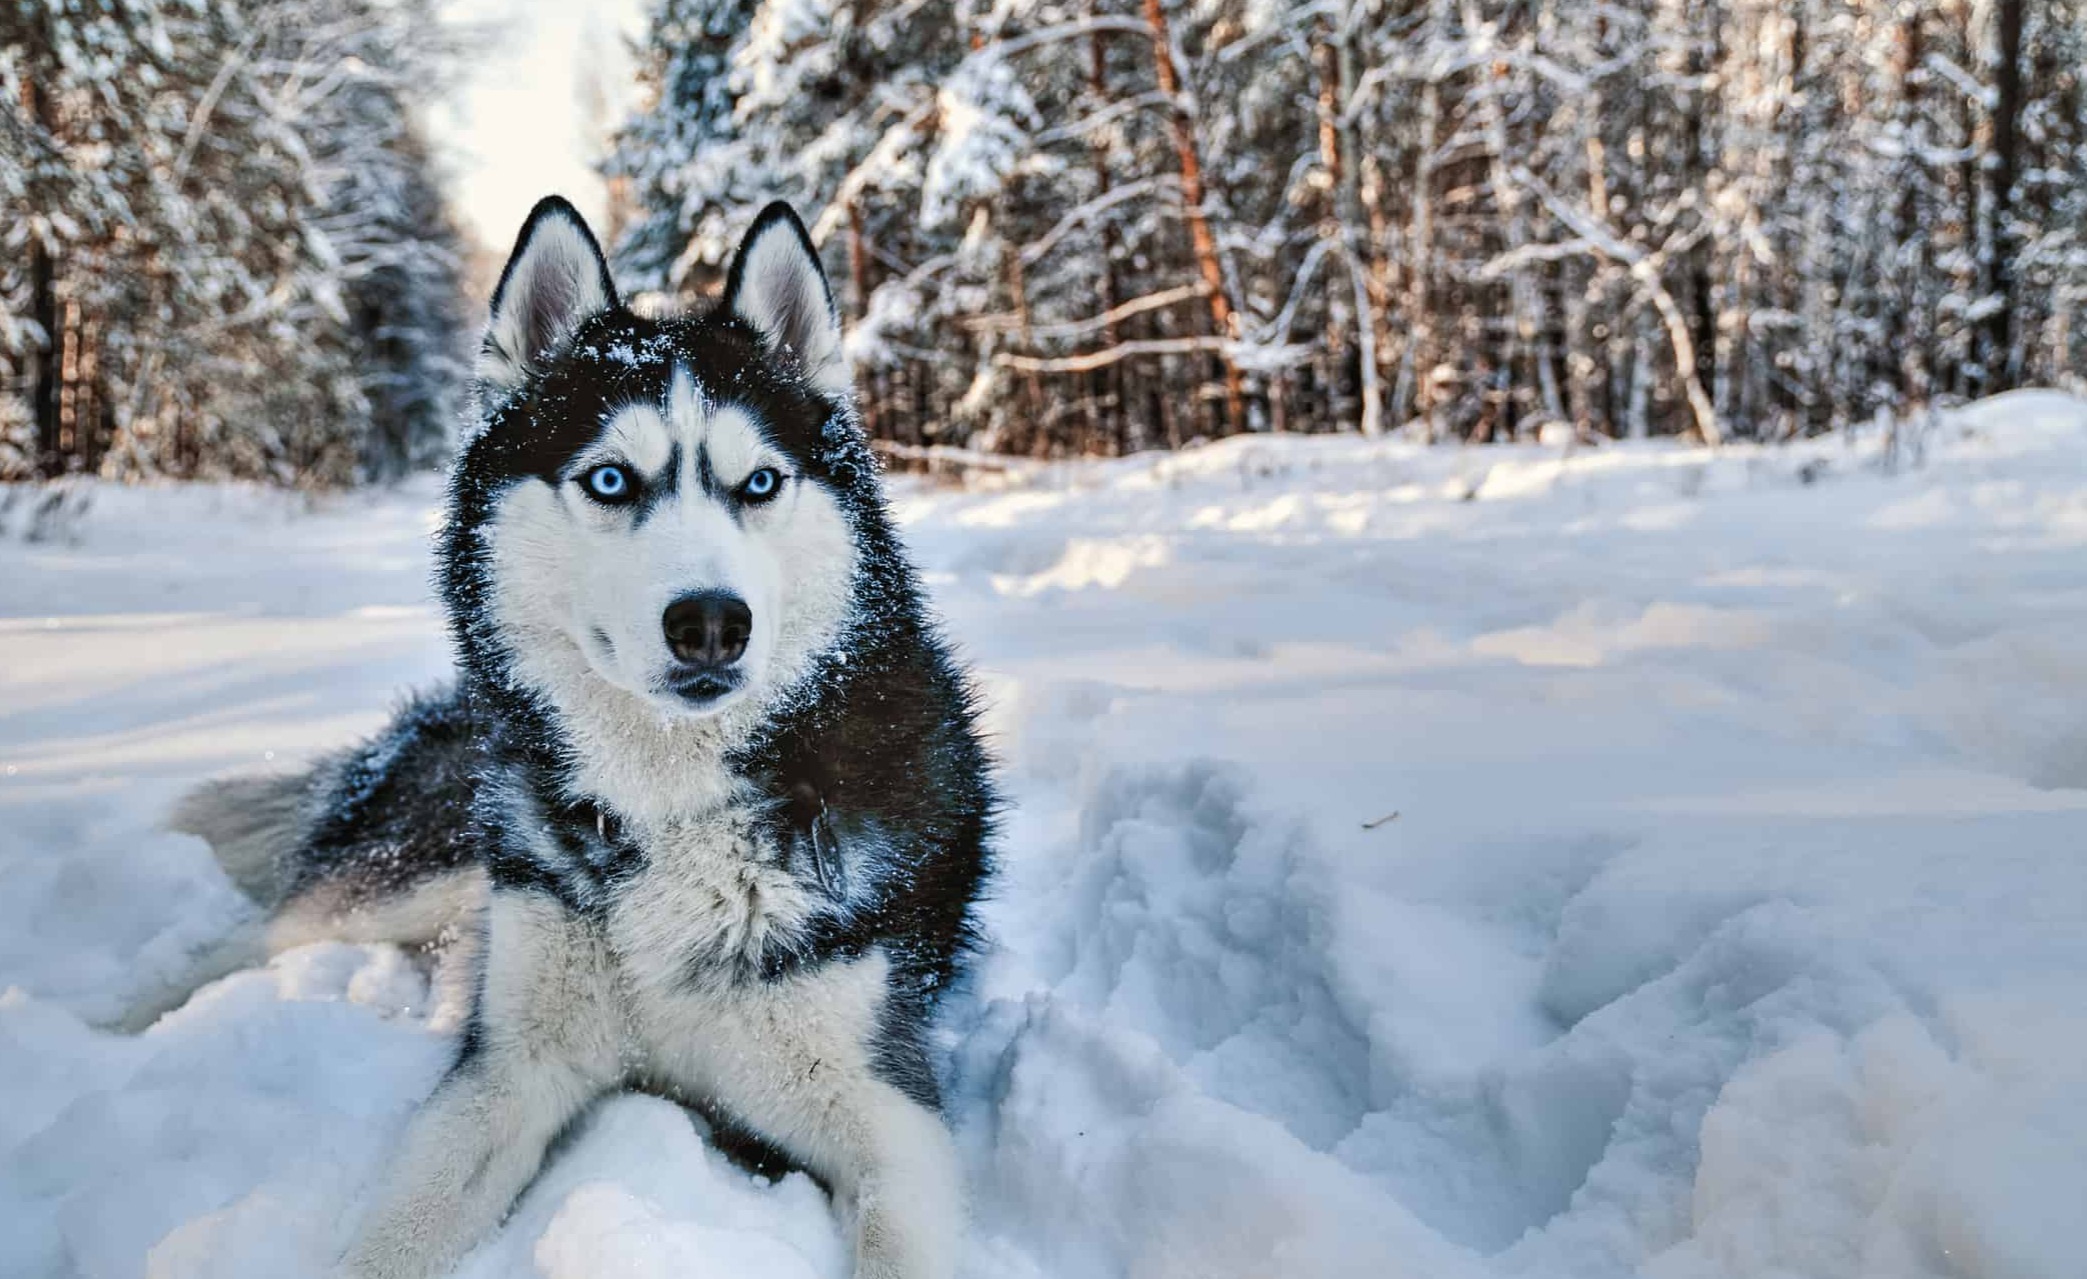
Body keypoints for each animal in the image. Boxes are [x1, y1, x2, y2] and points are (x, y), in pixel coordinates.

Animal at [149, 199, 993, 1276]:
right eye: (610, 479)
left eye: (760, 482)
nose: (710, 620)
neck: (673, 804)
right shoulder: (507, 1072)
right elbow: (393, 1235)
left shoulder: (887, 1109)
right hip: (432, 865)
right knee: (253, 935)